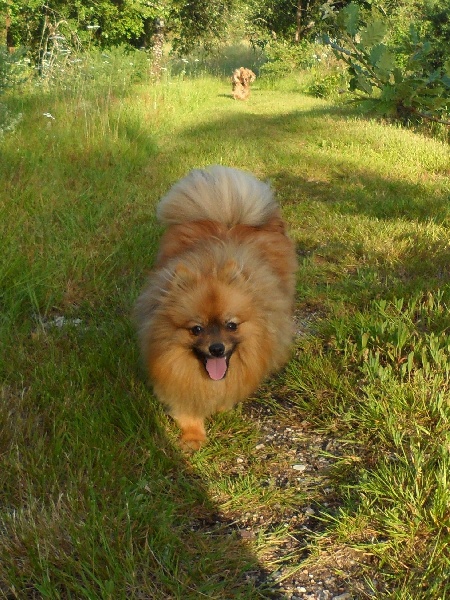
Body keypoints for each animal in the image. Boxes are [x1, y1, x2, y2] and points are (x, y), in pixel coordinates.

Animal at [134, 166, 297, 450]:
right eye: (196, 329)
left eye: (231, 325)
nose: (217, 348)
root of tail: (230, 218)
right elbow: (186, 408)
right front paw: (193, 438)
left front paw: (221, 408)